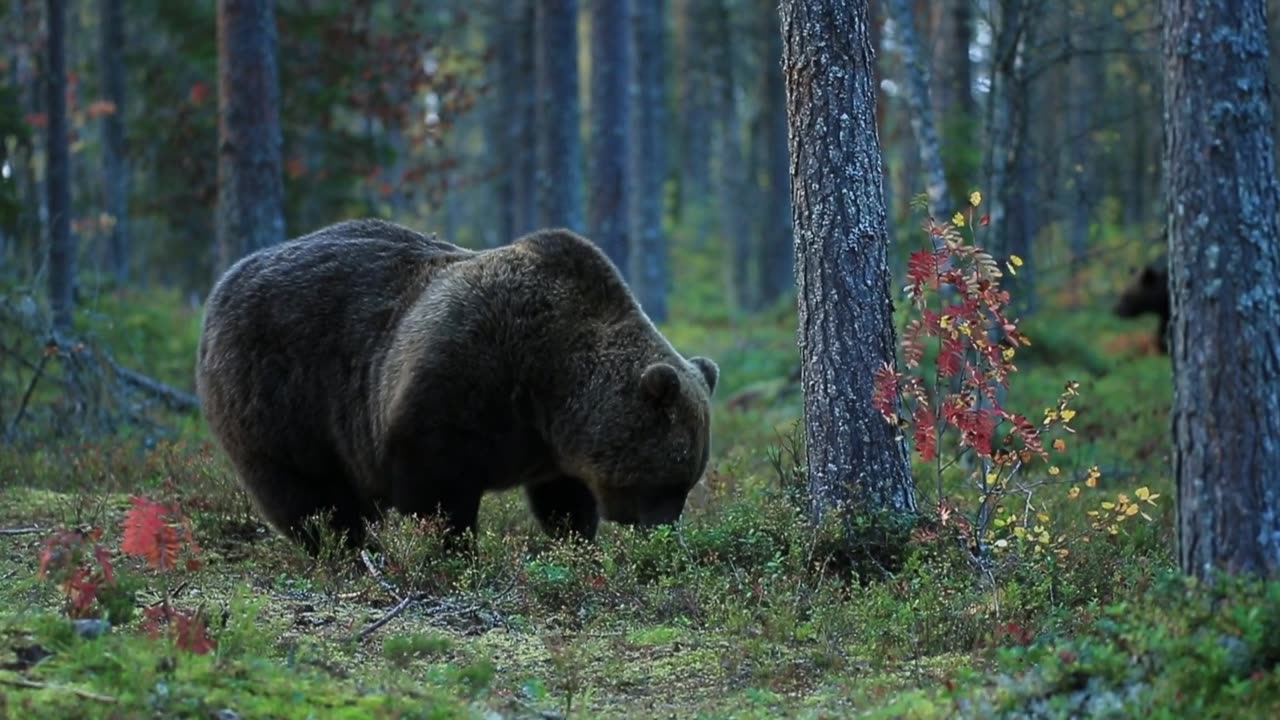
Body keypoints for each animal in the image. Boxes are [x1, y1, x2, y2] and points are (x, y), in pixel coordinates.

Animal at [198, 219, 721, 548]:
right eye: (670, 479)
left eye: (689, 480)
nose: (665, 533)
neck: (549, 380)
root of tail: (224, 281)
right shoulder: (457, 381)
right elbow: (436, 487)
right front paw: (454, 550)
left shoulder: (552, 444)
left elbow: (563, 499)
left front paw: (576, 539)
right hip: (282, 393)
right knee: (307, 492)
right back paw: (347, 548)